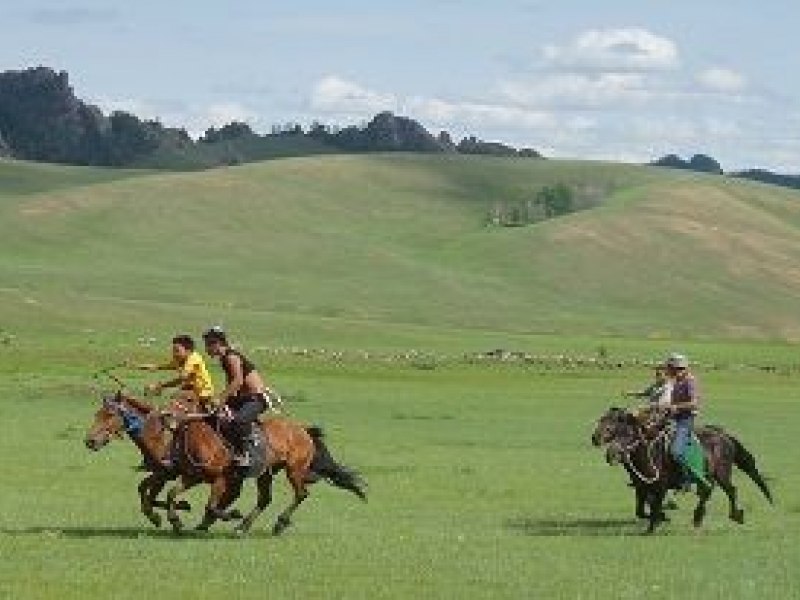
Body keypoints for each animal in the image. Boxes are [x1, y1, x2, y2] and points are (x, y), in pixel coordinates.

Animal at [85, 391, 367, 535]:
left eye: (108, 414)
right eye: (97, 413)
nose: (90, 441)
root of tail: (303, 431)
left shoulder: (202, 476)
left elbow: (194, 500)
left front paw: (178, 517)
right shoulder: (180, 474)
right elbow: (153, 492)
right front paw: (169, 516)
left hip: (294, 470)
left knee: (301, 493)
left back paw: (278, 523)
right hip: (265, 473)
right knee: (264, 499)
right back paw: (241, 526)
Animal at [591, 406, 772, 533]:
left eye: (627, 433)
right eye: (602, 421)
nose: (595, 438)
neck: (650, 451)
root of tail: (724, 436)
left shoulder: (661, 487)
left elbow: (655, 507)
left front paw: (653, 526)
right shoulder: (641, 487)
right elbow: (641, 511)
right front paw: (662, 518)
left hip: (722, 473)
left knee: (731, 490)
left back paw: (735, 515)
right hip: (706, 476)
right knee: (707, 491)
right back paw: (698, 517)